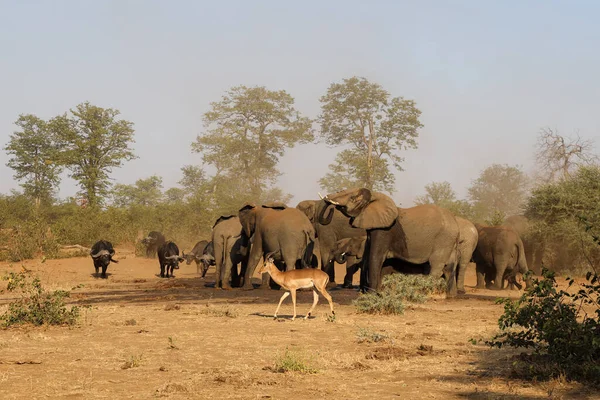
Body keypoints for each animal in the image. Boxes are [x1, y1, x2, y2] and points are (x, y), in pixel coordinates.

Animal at [324, 188, 460, 296]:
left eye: (353, 198)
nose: (327, 200)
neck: (376, 197)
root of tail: (455, 221)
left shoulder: (384, 230)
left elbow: (375, 258)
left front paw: (372, 294)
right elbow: (368, 258)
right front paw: (371, 293)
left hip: (444, 239)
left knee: (436, 267)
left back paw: (426, 294)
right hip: (450, 242)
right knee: (449, 268)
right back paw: (451, 296)